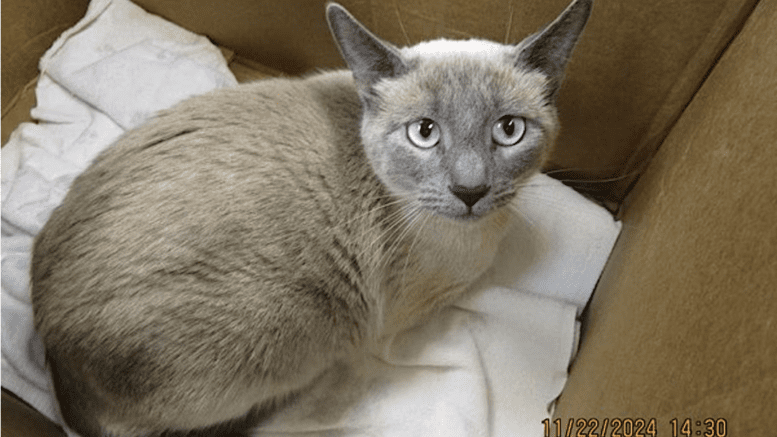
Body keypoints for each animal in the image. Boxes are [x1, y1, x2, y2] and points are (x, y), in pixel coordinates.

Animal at [27, 1, 592, 434]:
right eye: (424, 133)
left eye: (509, 130)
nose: (470, 191)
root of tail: (52, 350)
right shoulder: (407, 311)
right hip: (297, 326)